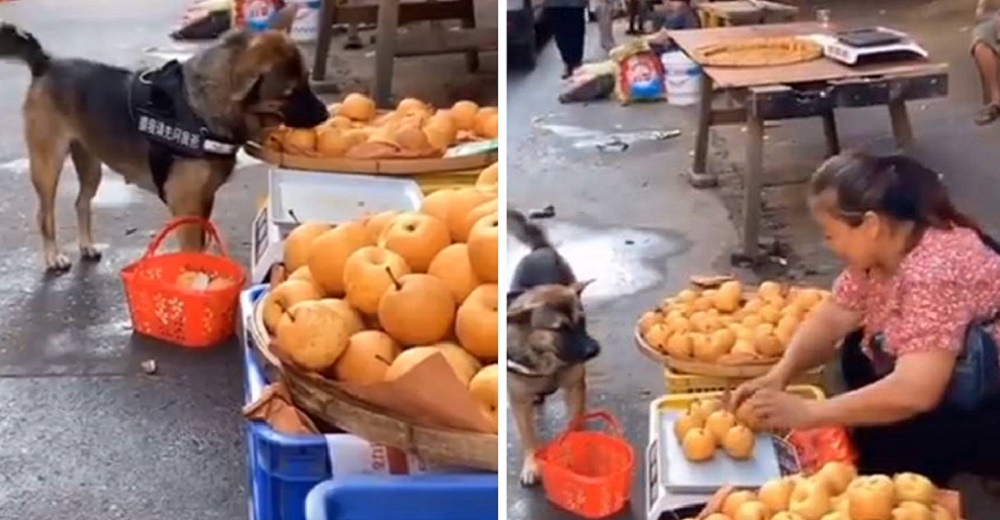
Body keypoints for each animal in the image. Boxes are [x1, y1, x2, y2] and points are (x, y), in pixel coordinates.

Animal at [0, 6, 324, 274]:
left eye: (307, 80)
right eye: (290, 92)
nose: (323, 114)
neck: (201, 107)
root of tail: (46, 64)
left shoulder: (204, 200)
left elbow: (202, 244)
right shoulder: (186, 205)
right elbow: (192, 249)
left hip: (90, 163)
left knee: (82, 203)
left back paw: (86, 245)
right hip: (47, 165)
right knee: (45, 214)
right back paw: (53, 256)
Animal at [508, 209, 600, 486]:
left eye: (582, 321)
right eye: (559, 329)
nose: (594, 350)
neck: (547, 359)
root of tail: (541, 249)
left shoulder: (574, 387)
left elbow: (575, 421)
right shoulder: (518, 401)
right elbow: (528, 436)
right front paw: (532, 463)